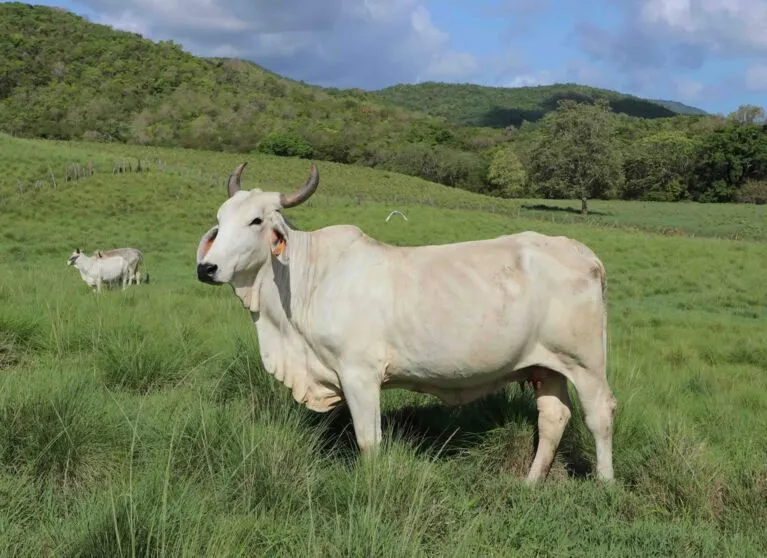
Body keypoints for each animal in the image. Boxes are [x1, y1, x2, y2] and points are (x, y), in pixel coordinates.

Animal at [195, 162, 618, 483]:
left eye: (255, 220)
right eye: (219, 219)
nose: (207, 268)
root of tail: (582, 251)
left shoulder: (359, 374)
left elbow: (368, 440)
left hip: (586, 363)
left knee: (599, 415)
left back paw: (605, 482)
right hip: (547, 367)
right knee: (553, 418)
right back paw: (530, 482)